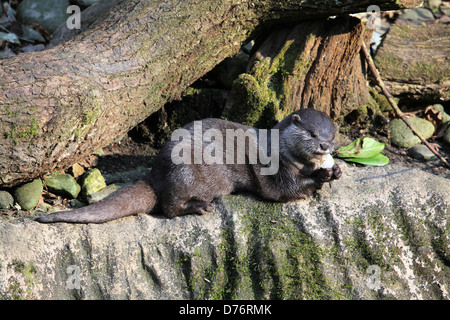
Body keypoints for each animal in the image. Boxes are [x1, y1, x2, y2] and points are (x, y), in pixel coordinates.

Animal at [35, 109, 342, 224]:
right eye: (312, 134)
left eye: (331, 136)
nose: (325, 146)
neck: (281, 150)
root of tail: (156, 175)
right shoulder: (274, 168)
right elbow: (285, 190)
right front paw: (323, 175)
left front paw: (335, 170)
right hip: (188, 172)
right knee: (169, 207)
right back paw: (200, 206)